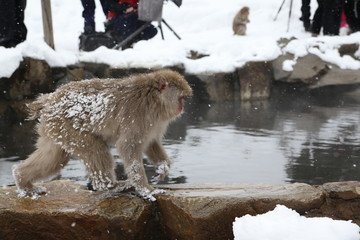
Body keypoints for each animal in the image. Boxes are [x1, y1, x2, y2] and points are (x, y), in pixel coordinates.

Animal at [12, 70, 193, 201]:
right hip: (68, 127)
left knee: (53, 158)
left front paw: (163, 167)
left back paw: (23, 181)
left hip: (55, 129)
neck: (153, 99)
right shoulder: (138, 117)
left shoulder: (155, 123)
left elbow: (151, 143)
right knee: (95, 149)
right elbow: (128, 147)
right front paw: (145, 189)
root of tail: (49, 99)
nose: (182, 108)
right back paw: (110, 186)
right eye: (181, 98)